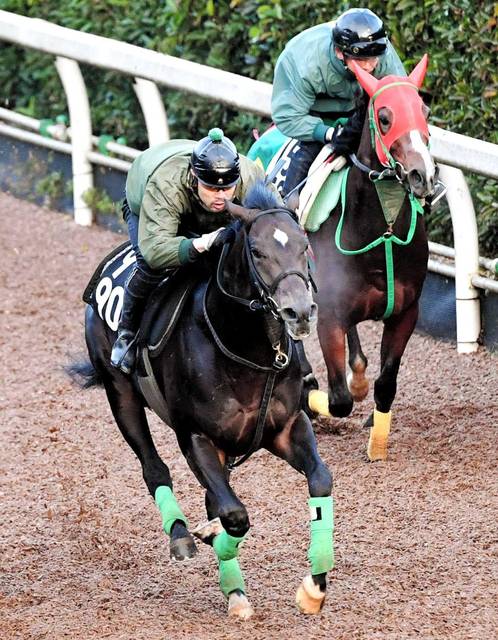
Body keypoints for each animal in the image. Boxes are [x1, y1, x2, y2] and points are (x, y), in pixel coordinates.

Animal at [68, 182, 334, 619]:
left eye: (304, 244)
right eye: (257, 251)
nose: (299, 311)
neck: (247, 352)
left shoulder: (286, 426)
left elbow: (320, 481)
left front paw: (314, 587)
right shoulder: (196, 437)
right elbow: (234, 514)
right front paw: (215, 544)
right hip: (120, 393)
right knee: (155, 469)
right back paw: (182, 535)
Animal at [251, 55, 436, 462]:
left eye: (425, 111)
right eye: (384, 116)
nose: (423, 175)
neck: (381, 232)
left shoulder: (405, 312)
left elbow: (385, 383)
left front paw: (377, 442)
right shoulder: (329, 318)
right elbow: (337, 401)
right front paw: (311, 396)